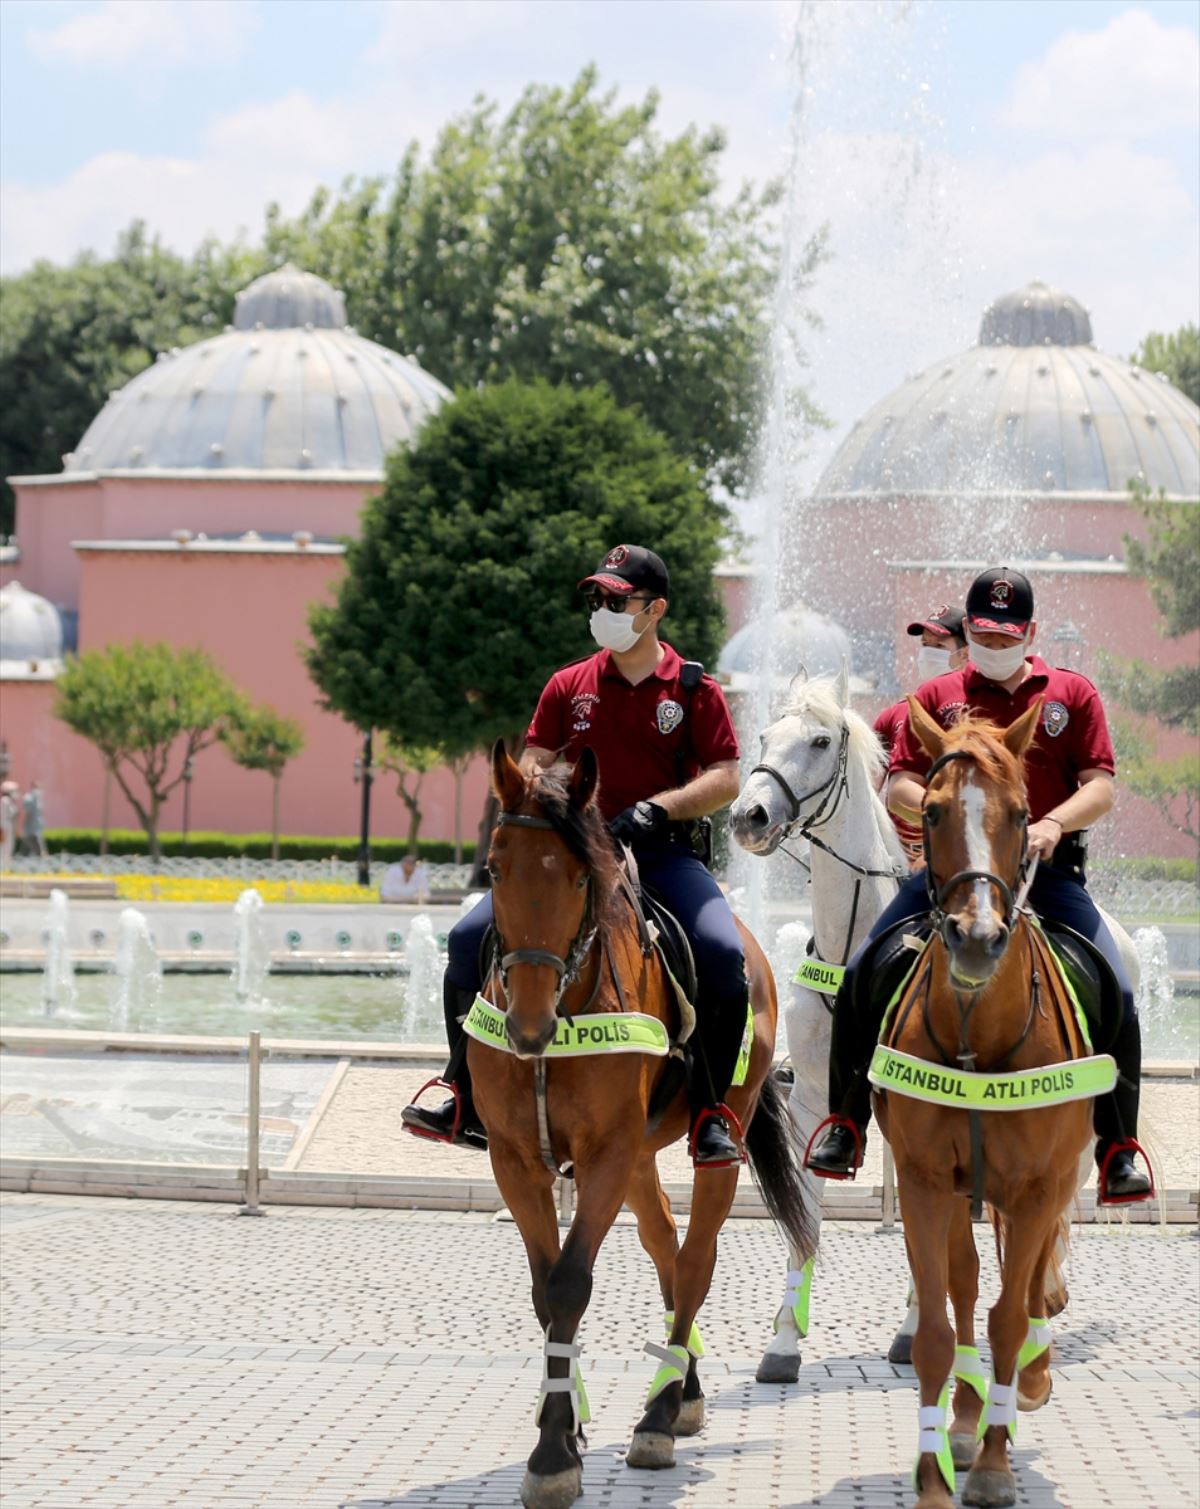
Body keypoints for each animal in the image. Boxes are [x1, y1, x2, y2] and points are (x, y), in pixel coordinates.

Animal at [473, 745, 821, 1509]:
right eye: (495, 869)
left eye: (580, 876)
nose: (528, 1025)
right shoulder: (516, 1160)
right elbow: (545, 1292)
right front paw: (565, 1423)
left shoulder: (606, 1153)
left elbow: (570, 1283)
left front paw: (552, 1454)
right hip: (636, 1159)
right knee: (665, 1244)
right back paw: (680, 1385)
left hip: (713, 1138)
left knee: (695, 1259)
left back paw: (661, 1413)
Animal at [727, 673, 905, 1382]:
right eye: (763, 735)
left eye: (821, 741)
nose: (747, 817)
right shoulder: (809, 1099)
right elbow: (804, 1209)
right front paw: (783, 1341)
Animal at [875, 700, 1110, 1502]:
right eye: (933, 810)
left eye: (1022, 814)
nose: (977, 937)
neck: (980, 1035)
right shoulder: (922, 1180)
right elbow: (940, 1325)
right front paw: (934, 1471)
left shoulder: (1039, 1183)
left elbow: (1012, 1313)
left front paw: (995, 1464)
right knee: (969, 1278)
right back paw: (970, 1413)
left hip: (1054, 1176)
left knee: (1028, 1282)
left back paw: (1026, 1381)